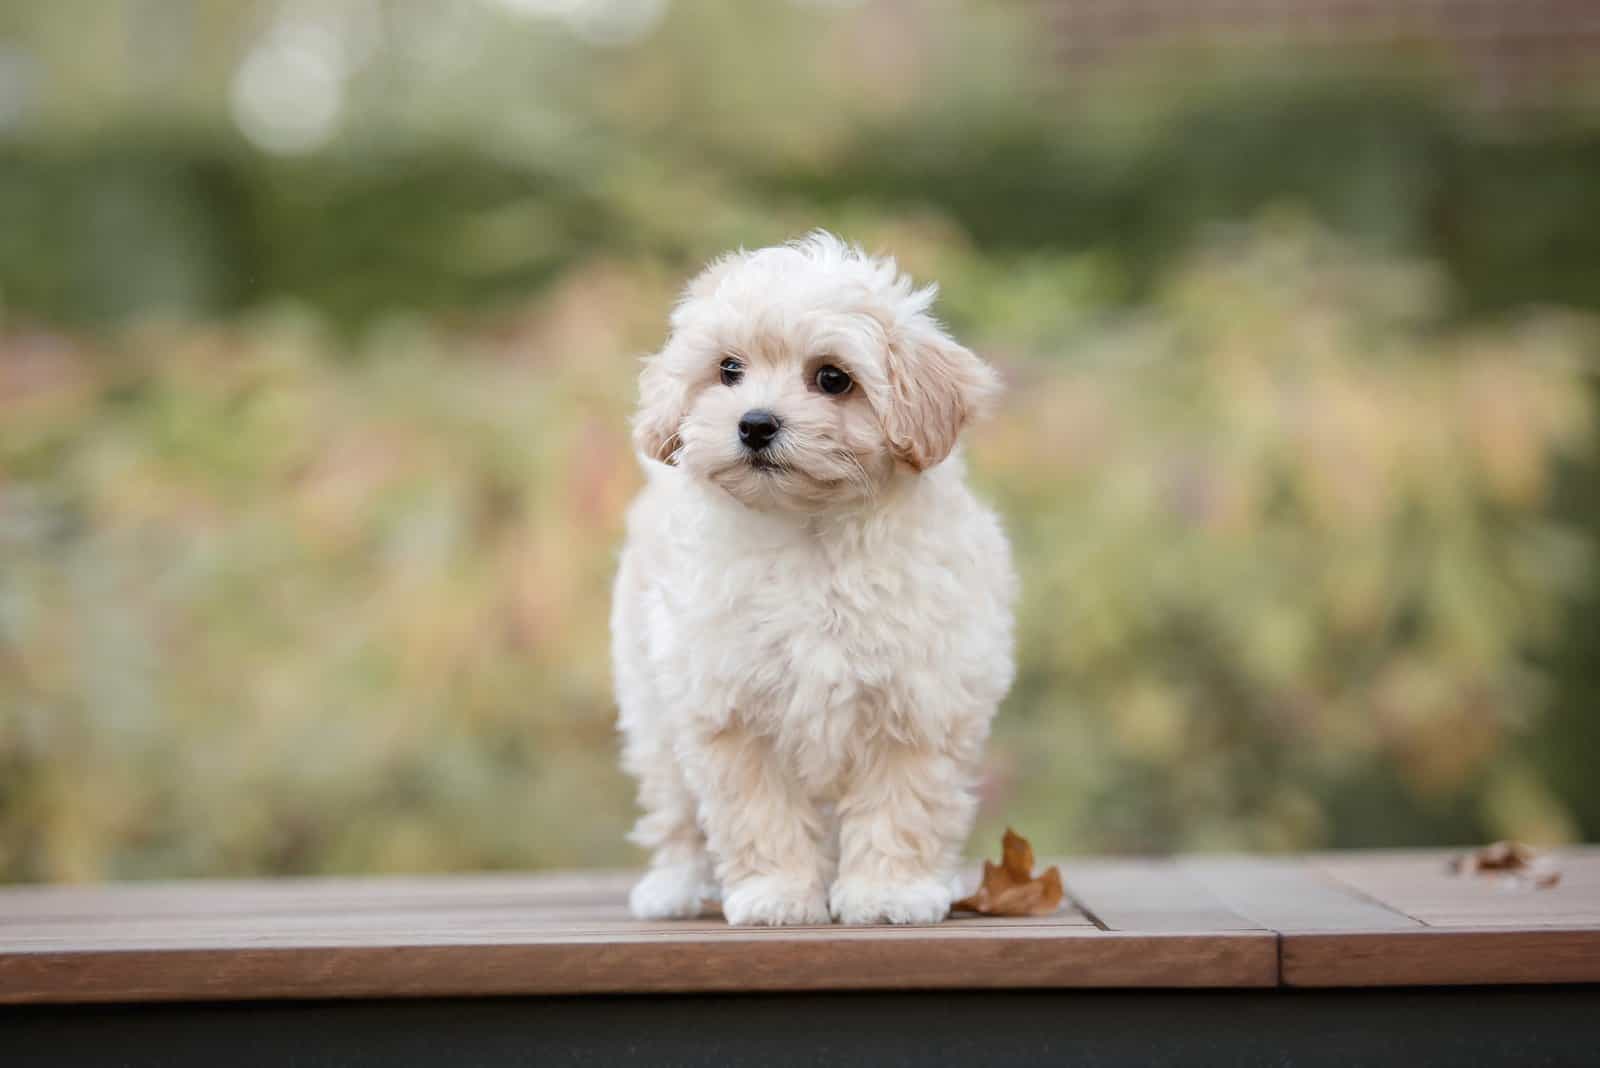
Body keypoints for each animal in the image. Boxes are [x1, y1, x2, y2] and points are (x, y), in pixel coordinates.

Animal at [608, 233, 1011, 927]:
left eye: (832, 378)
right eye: (729, 370)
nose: (754, 423)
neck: (810, 536)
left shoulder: (920, 700)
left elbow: (902, 806)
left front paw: (889, 893)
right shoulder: (731, 709)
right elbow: (758, 814)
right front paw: (777, 892)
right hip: (651, 707)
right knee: (673, 808)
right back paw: (673, 886)